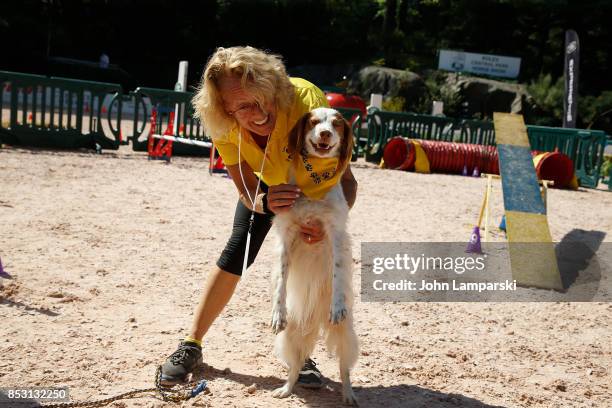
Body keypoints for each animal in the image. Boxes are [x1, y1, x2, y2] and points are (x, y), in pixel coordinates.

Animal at [272, 107, 358, 404]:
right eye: (313, 122)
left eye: (336, 124)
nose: (325, 134)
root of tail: (315, 320)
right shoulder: (287, 236)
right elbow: (281, 281)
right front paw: (277, 312)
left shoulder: (335, 234)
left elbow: (338, 271)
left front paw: (337, 304)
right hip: (291, 337)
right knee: (296, 366)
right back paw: (286, 389)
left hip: (345, 336)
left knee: (344, 370)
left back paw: (348, 396)